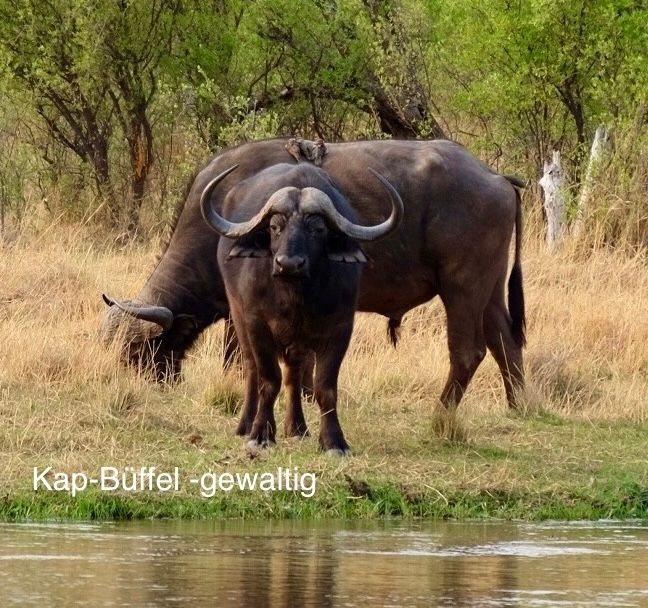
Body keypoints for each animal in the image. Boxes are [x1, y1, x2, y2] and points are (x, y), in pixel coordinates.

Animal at [102, 139, 528, 408]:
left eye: (136, 350)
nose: (128, 383)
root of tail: (496, 177)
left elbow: (242, 355)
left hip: (461, 287)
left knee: (468, 352)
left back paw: (442, 413)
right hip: (488, 289)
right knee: (505, 343)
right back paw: (518, 406)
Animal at [202, 162, 402, 452]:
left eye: (317, 229)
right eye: (275, 227)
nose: (289, 264)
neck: (295, 297)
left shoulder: (341, 328)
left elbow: (324, 387)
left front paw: (333, 441)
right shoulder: (256, 323)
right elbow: (268, 379)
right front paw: (261, 433)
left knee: (293, 375)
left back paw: (296, 427)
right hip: (238, 317)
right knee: (252, 368)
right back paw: (246, 424)